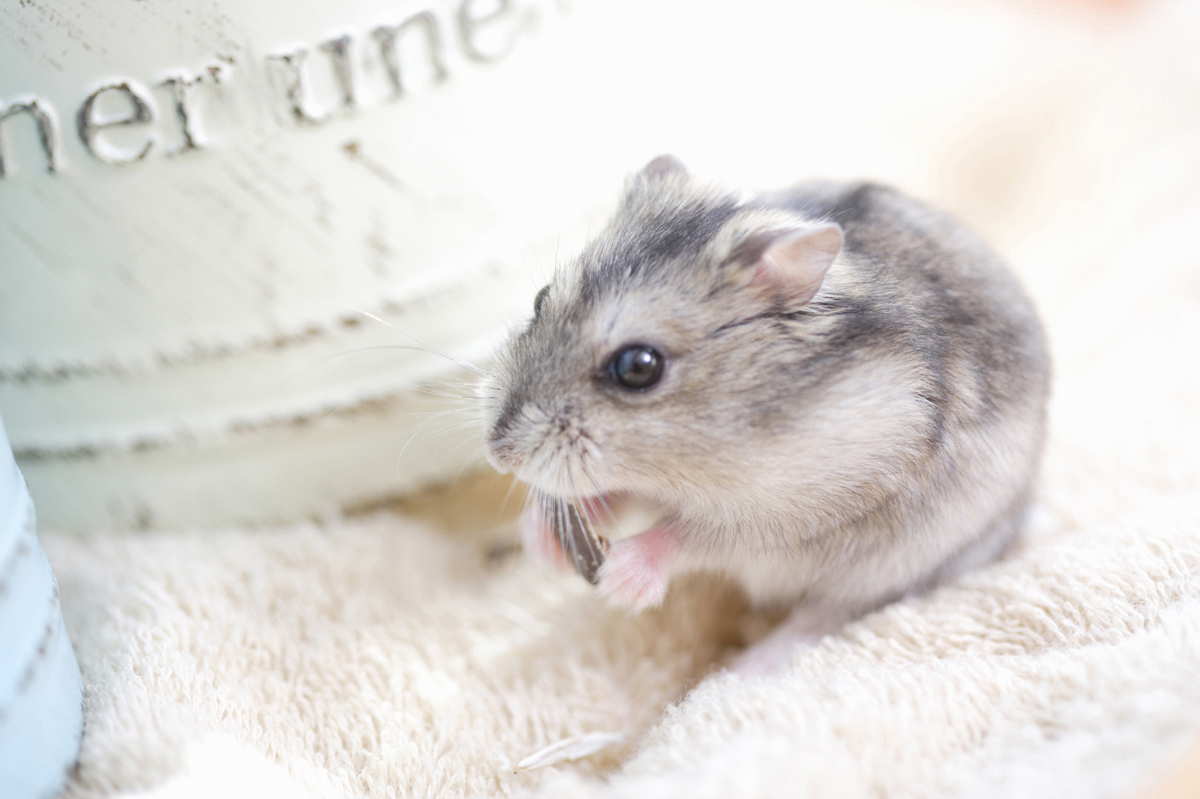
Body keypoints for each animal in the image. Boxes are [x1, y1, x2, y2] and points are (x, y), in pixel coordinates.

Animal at [477, 153, 1051, 667]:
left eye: (638, 366)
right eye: (540, 299)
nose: (498, 454)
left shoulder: (786, 520)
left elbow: (687, 536)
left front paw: (620, 580)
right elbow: (614, 494)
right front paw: (540, 539)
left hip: (905, 564)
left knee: (824, 618)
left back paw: (734, 671)